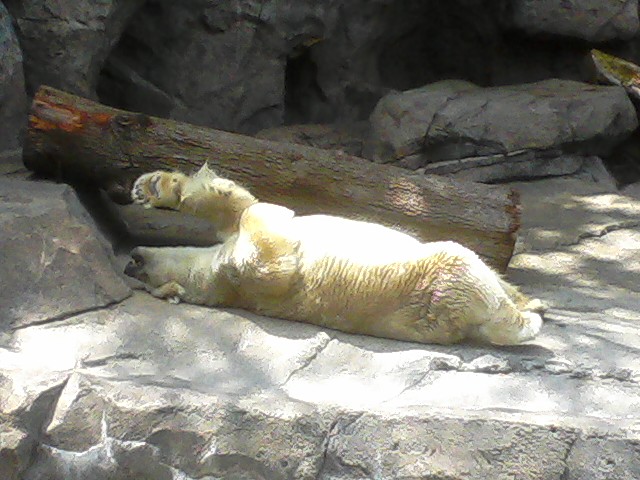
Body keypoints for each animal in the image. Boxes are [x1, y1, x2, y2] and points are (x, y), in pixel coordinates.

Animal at [125, 164, 544, 346]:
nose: (132, 258)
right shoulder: (251, 274)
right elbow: (264, 232)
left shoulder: (229, 259)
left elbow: (231, 212)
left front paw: (155, 187)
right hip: (440, 281)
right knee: (462, 262)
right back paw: (527, 315)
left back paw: (533, 301)